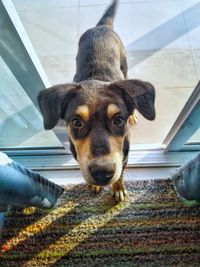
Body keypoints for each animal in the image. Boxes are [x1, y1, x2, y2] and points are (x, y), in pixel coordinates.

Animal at [38, 0, 156, 201]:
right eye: (76, 122)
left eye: (119, 119)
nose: (102, 172)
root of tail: (102, 26)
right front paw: (95, 185)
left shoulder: (124, 154)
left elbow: (120, 173)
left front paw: (118, 189)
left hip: (124, 63)